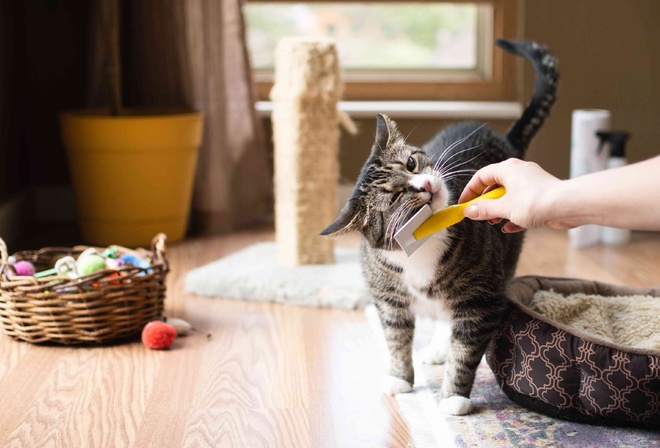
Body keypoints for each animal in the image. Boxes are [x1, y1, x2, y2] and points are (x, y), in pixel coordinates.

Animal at [322, 39, 560, 416]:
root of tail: (505, 139)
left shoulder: (481, 300)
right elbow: (396, 339)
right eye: (394, 198)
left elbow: (465, 352)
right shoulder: (389, 300)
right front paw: (400, 378)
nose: (425, 186)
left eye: (411, 163)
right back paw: (435, 348)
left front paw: (453, 398)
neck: (422, 245)